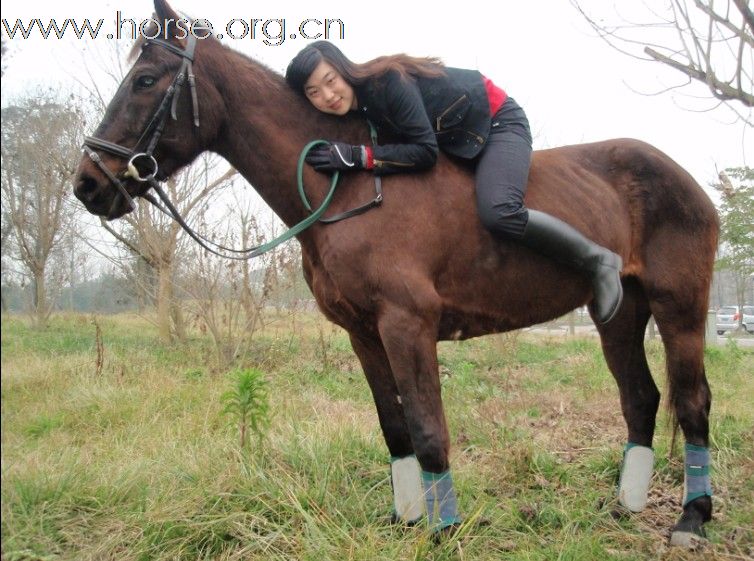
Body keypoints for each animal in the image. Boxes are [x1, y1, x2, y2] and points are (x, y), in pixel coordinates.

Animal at [75, 0, 716, 544]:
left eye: (145, 80)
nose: (88, 183)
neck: (353, 187)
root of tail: (680, 175)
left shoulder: (408, 324)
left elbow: (430, 431)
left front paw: (444, 531)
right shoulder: (364, 333)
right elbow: (396, 429)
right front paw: (408, 519)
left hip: (681, 307)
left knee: (692, 402)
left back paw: (692, 517)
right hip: (618, 315)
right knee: (640, 399)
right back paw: (626, 505)